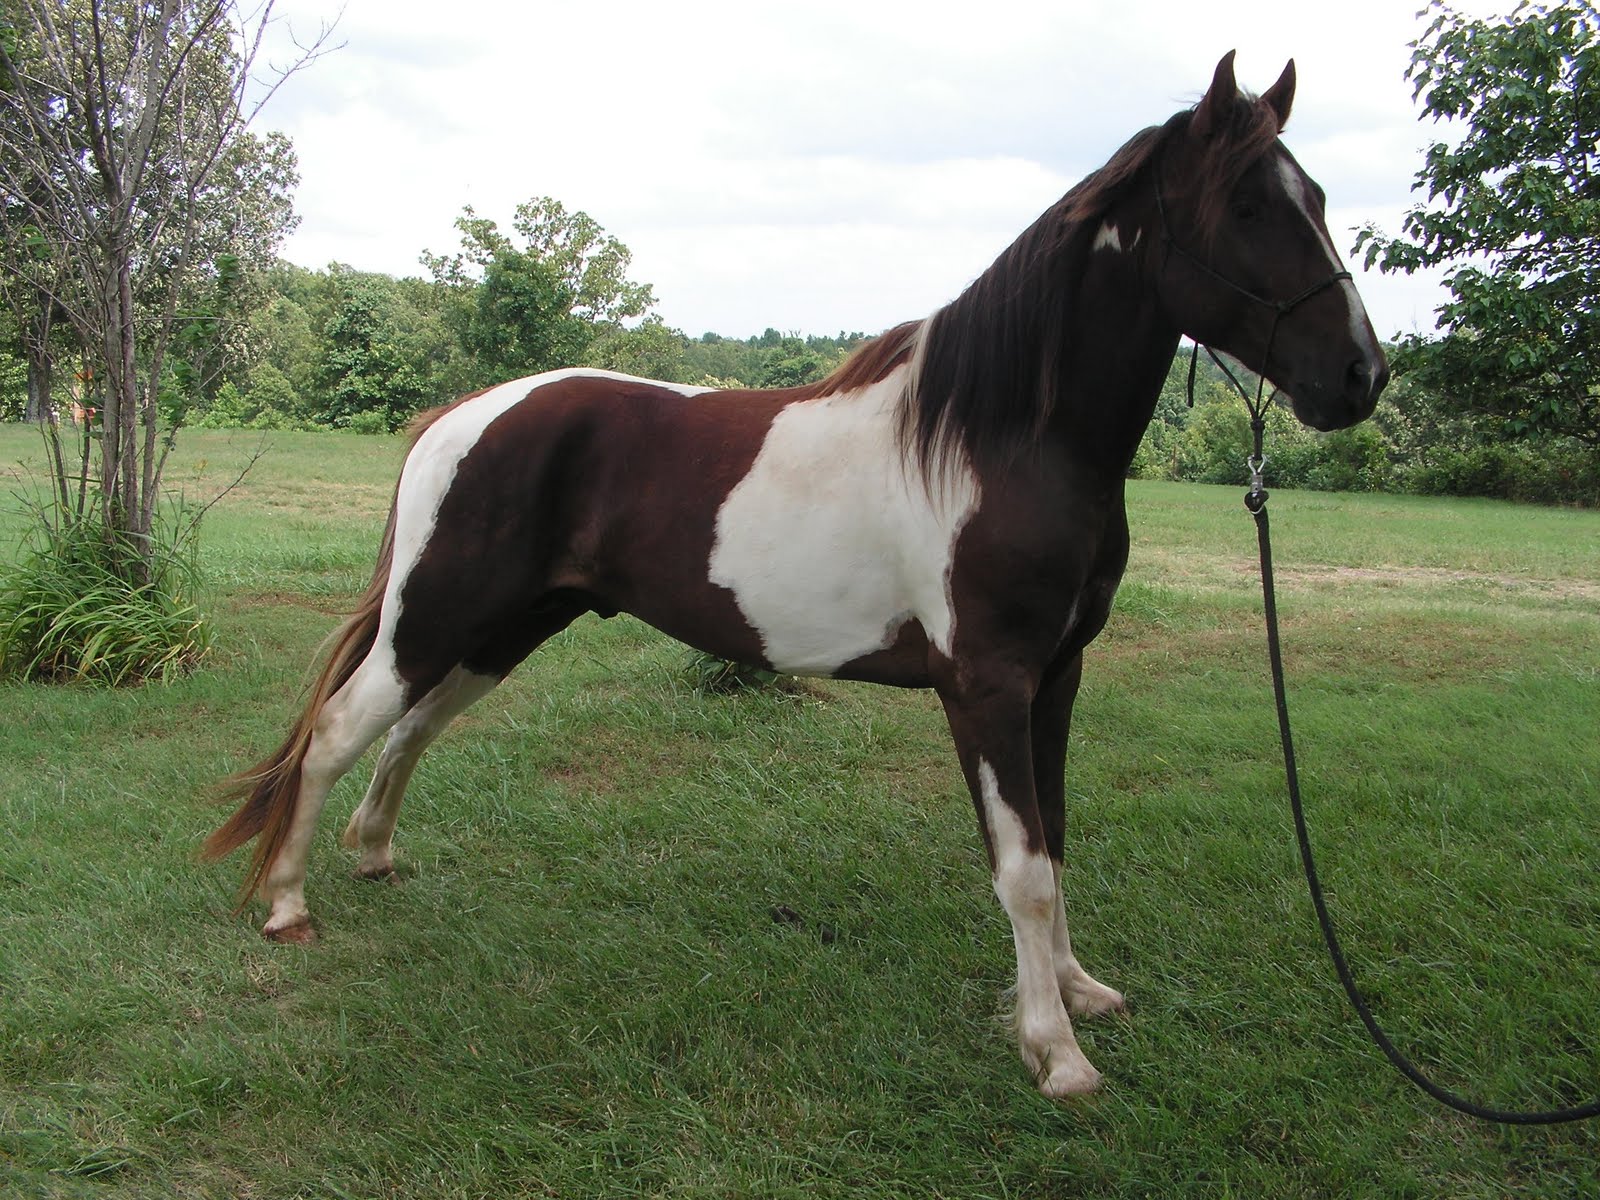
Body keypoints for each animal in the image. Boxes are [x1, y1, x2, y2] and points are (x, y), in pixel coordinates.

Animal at [205, 53, 1388, 1098]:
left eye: (1319, 198)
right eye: (1249, 206)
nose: (1360, 376)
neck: (999, 438)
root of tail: (461, 416)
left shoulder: (1058, 680)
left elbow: (1055, 845)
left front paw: (1080, 994)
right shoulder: (987, 687)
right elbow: (1021, 869)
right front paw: (1054, 1053)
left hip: (506, 627)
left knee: (411, 727)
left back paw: (372, 857)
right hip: (441, 616)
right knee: (341, 728)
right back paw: (288, 908)